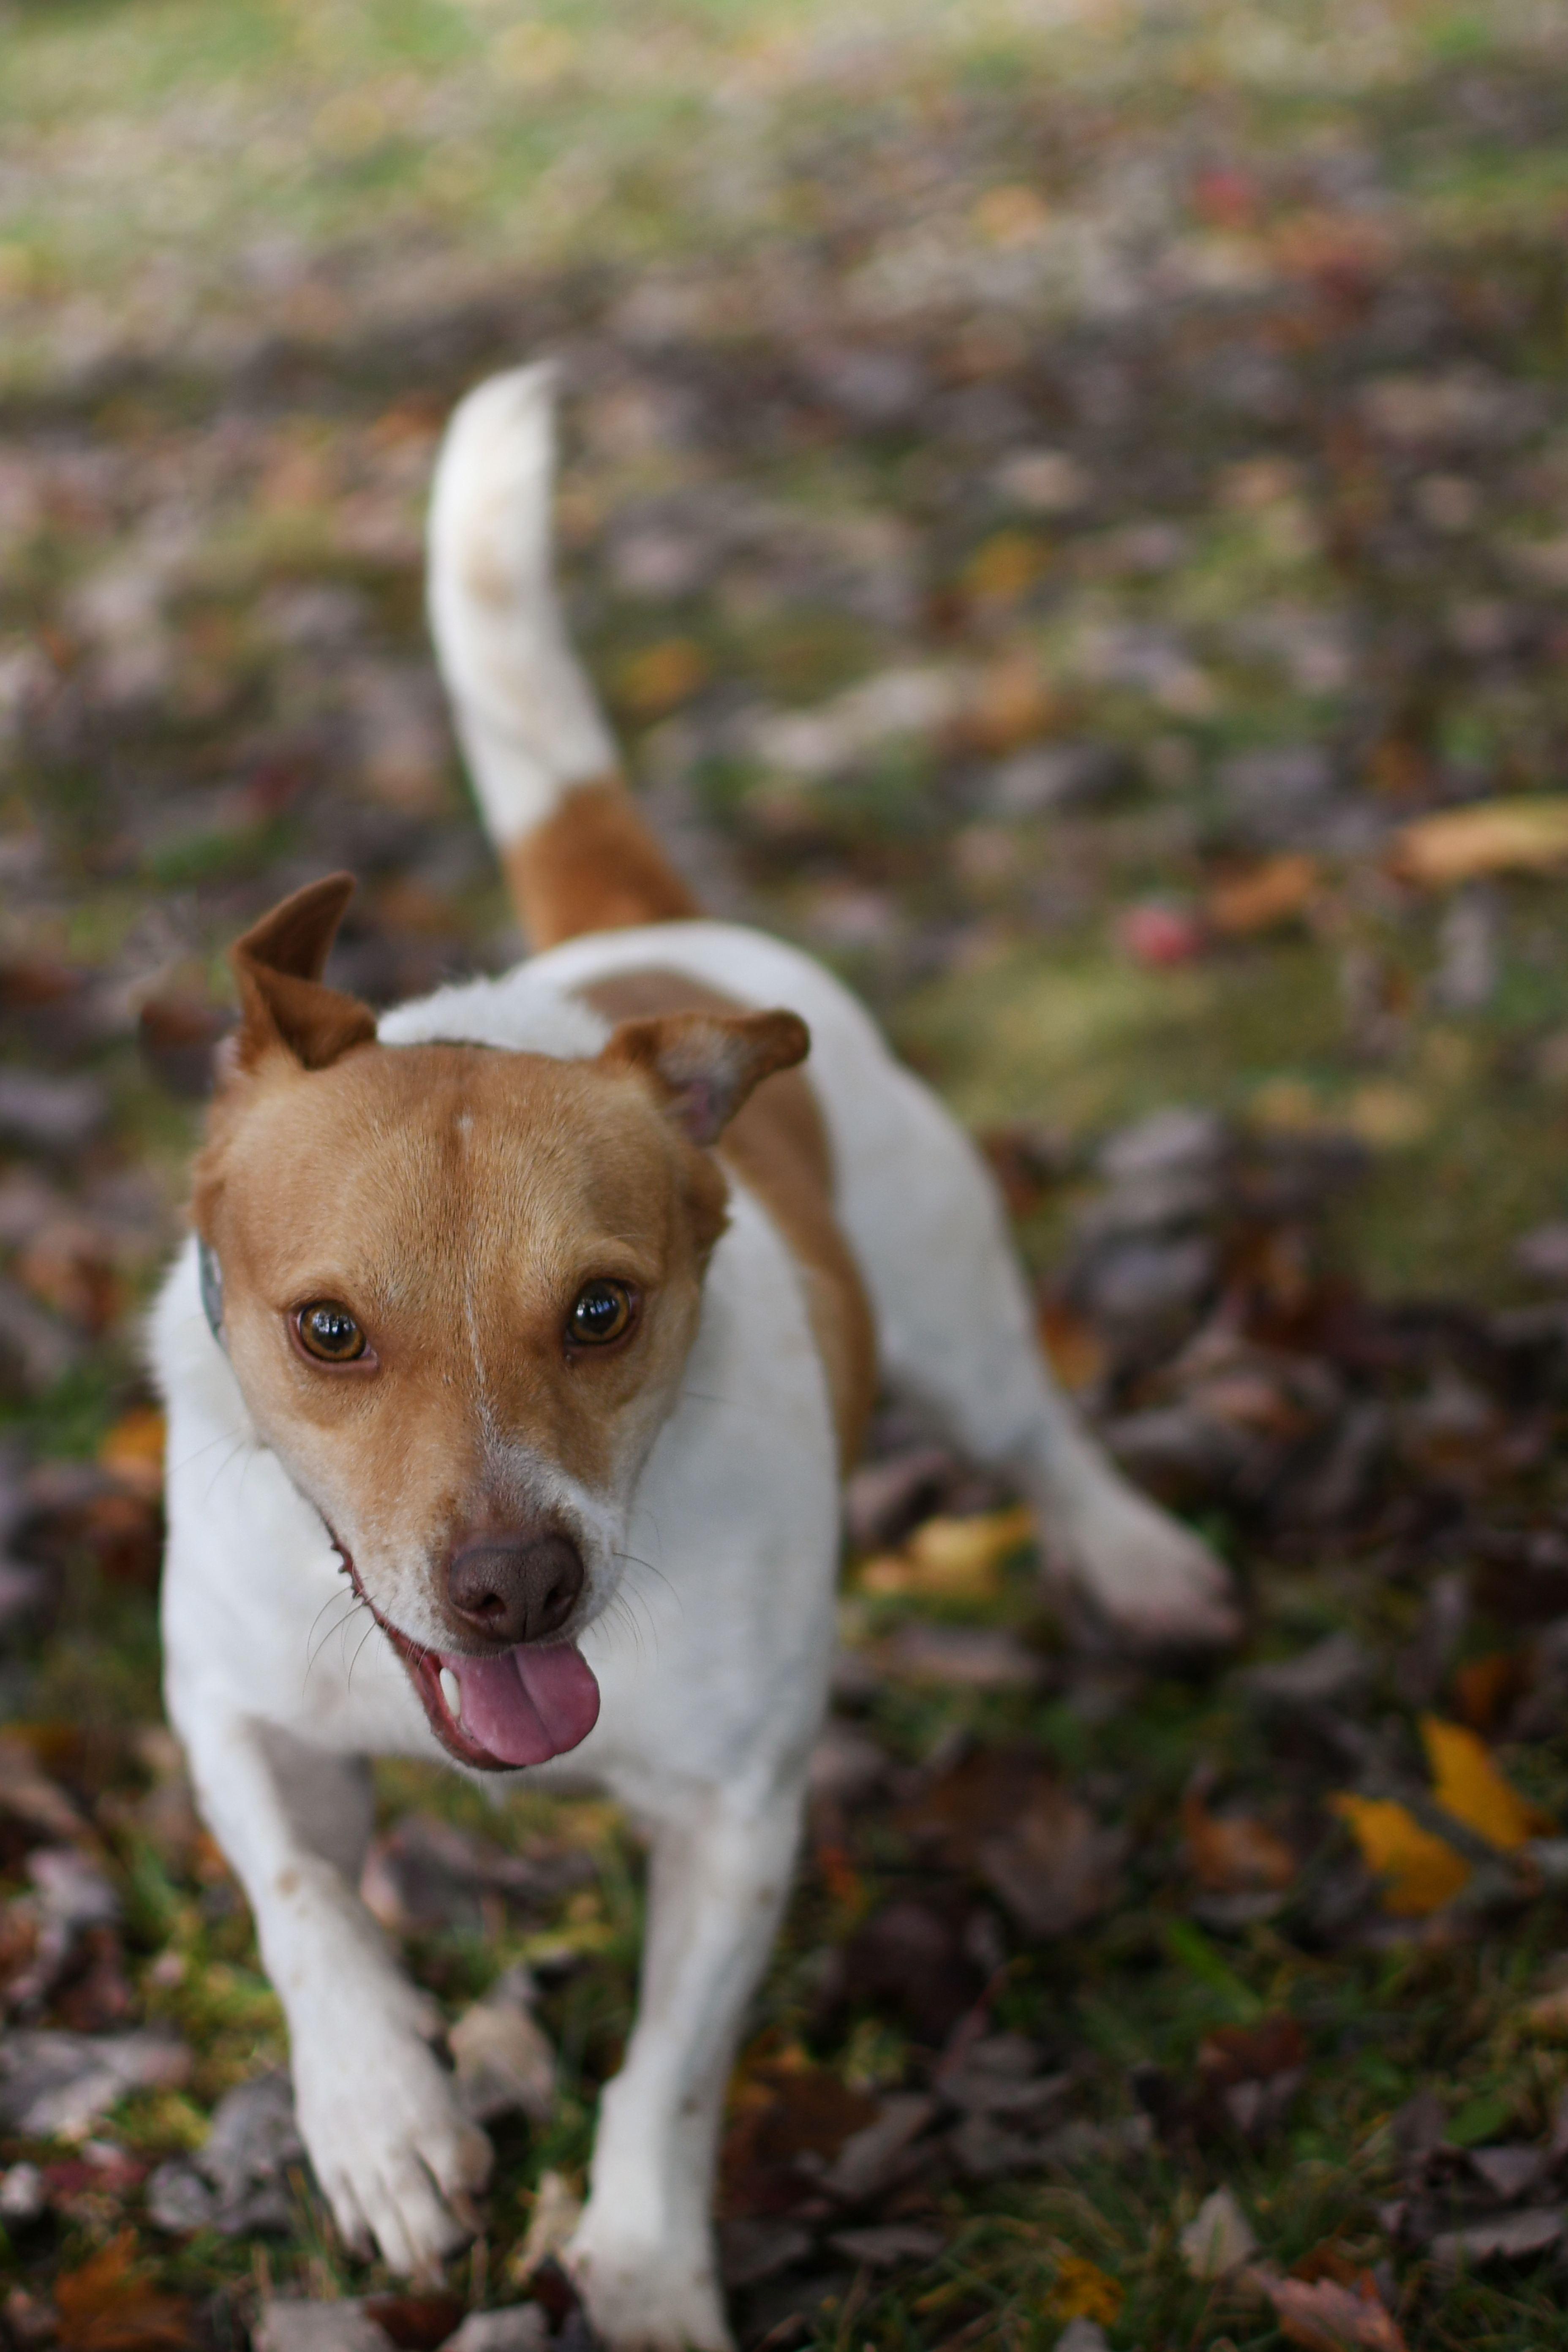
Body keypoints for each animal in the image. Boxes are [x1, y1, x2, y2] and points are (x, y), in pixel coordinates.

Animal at [156, 367, 1241, 2352]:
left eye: (602, 1308)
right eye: (327, 1330)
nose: (513, 1587)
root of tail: (631, 934)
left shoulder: (736, 1816)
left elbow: (664, 2071)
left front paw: (648, 2262)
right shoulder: (229, 1701)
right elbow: (300, 1905)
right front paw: (383, 2122)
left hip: (951, 1299)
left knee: (1036, 1432)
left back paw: (1133, 1561)